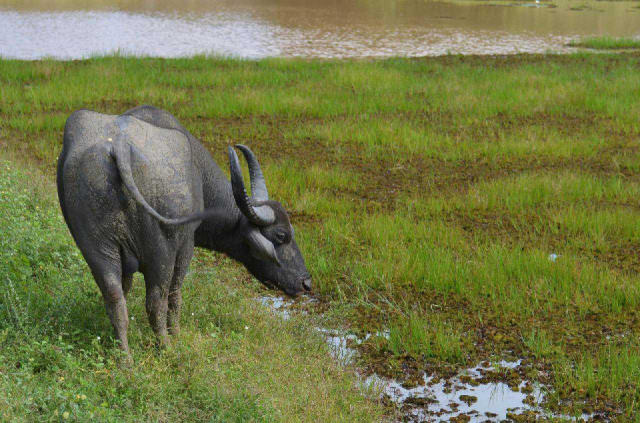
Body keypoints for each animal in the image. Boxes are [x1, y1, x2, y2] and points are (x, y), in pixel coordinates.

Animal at [56, 106, 312, 358]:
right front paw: (177, 335)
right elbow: (175, 295)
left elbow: (124, 292)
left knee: (114, 299)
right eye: (281, 235)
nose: (306, 283)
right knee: (157, 300)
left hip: (96, 247)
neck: (198, 176)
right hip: (161, 250)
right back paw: (167, 348)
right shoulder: (186, 246)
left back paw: (125, 359)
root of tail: (118, 147)